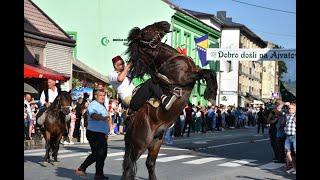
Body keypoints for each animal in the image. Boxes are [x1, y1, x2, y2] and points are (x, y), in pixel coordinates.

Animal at [121, 21, 219, 180]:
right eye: (146, 31)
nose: (164, 23)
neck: (168, 60)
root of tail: (132, 120)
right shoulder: (184, 78)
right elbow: (207, 72)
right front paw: (209, 94)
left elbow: (210, 72)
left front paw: (211, 93)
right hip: (141, 142)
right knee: (130, 165)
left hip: (156, 141)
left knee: (149, 163)